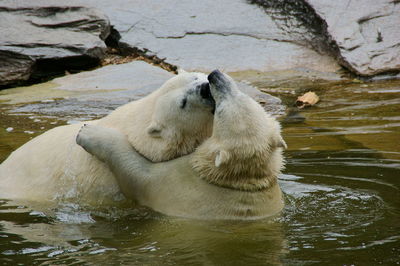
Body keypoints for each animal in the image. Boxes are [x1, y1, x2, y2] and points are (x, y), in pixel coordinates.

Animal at [76, 69, 288, 219]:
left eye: (221, 109)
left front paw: (88, 132)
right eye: (244, 96)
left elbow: (133, 172)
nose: (214, 77)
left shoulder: (172, 182)